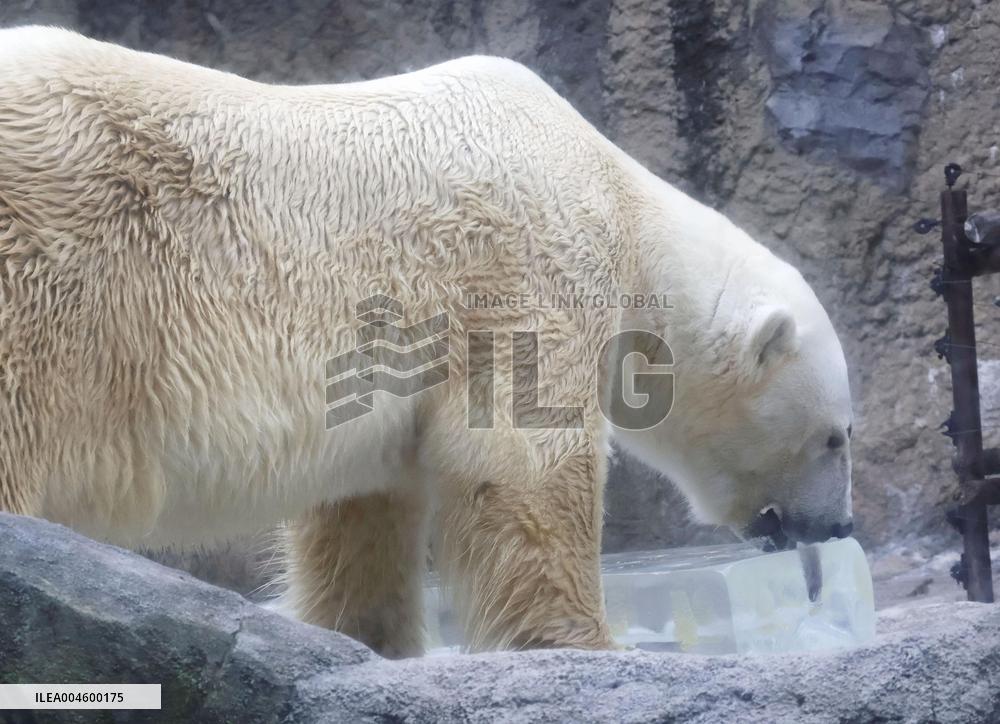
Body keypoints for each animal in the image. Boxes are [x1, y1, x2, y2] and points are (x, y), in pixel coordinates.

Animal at [0, 27, 853, 658]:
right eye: (837, 438)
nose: (837, 526)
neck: (619, 198)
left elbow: (361, 511)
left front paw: (366, 641)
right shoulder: (528, 266)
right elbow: (526, 460)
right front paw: (585, 644)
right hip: (51, 269)